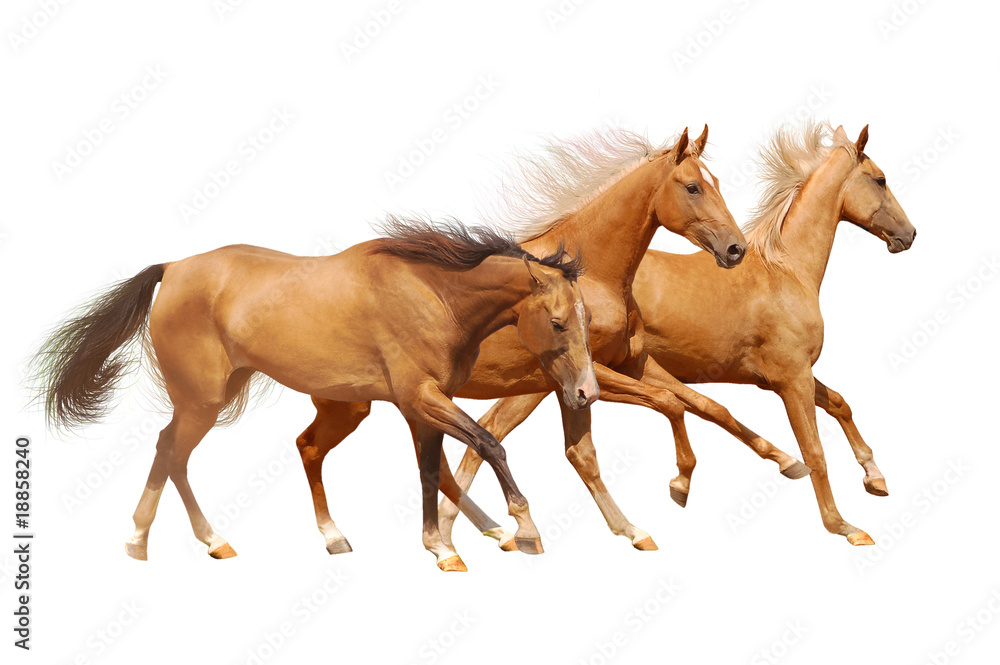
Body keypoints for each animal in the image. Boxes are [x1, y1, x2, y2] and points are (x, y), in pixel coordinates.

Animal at [31, 218, 598, 571]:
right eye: (557, 321)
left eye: (587, 319)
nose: (586, 392)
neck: (434, 296)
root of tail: (172, 268)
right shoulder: (420, 399)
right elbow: (487, 444)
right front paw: (519, 529)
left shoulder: (420, 407)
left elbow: (433, 468)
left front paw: (451, 544)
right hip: (202, 401)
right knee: (173, 451)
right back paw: (172, 539)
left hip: (260, 400)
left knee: (218, 450)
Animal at [296, 126, 809, 555]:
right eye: (692, 187)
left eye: (716, 180)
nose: (736, 249)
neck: (593, 275)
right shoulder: (587, 376)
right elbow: (661, 409)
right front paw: (676, 488)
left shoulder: (622, 366)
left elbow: (697, 408)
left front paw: (787, 461)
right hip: (368, 402)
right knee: (317, 448)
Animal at [439, 123, 915, 548]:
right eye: (880, 179)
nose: (909, 234)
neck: (785, 271)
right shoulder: (790, 377)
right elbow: (813, 449)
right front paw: (844, 526)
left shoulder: (777, 375)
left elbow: (834, 404)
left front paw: (872, 477)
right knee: (494, 433)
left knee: (495, 433)